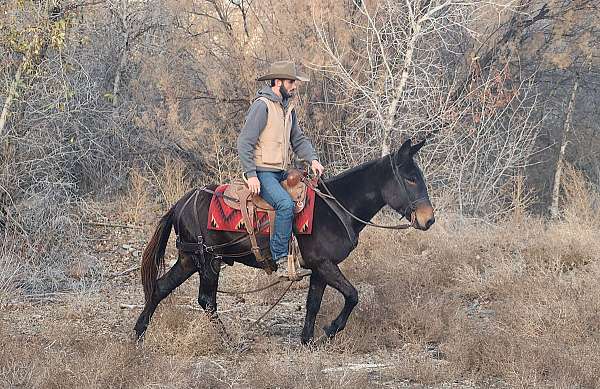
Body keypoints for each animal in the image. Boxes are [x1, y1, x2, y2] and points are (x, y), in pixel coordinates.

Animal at [135, 139, 436, 342]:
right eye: (410, 178)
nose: (428, 219)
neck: (336, 207)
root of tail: (180, 203)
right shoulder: (325, 265)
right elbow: (352, 295)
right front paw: (330, 330)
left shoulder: (320, 268)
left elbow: (313, 304)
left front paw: (307, 340)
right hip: (208, 259)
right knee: (206, 300)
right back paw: (228, 341)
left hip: (189, 259)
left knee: (160, 288)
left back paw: (138, 335)